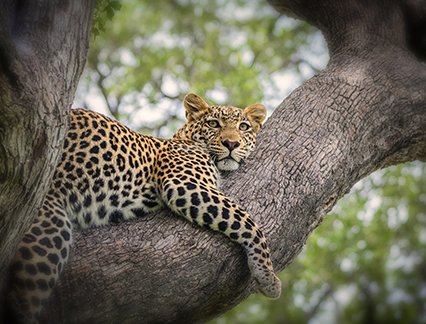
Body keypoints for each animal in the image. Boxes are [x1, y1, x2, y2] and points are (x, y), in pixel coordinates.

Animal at [6, 92, 282, 322]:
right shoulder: (186, 184)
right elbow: (247, 221)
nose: (231, 144)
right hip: (48, 223)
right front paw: (268, 276)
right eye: (213, 124)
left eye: (243, 127)